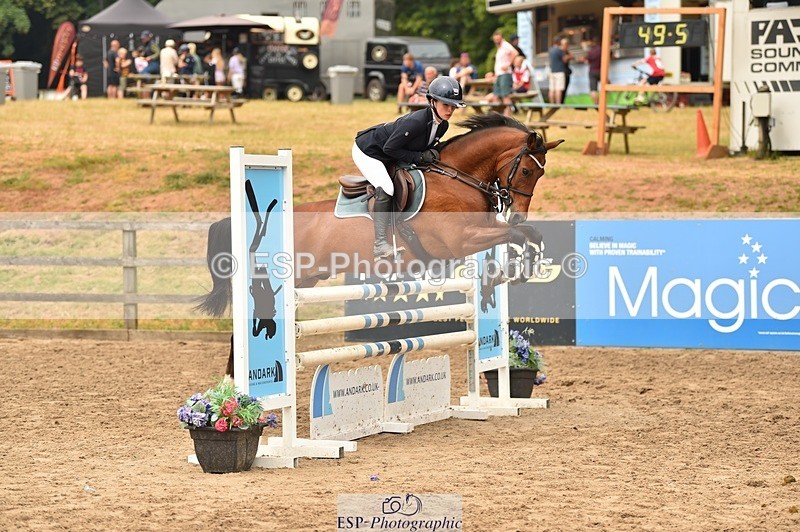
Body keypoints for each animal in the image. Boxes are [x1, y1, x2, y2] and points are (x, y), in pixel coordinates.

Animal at [196, 114, 562, 375]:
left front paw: (522, 268)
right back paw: (234, 388)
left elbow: (531, 235)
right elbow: (516, 236)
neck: (458, 178)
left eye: (540, 174)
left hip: (308, 279)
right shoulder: (460, 239)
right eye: (526, 170)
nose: (516, 213)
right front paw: (512, 269)